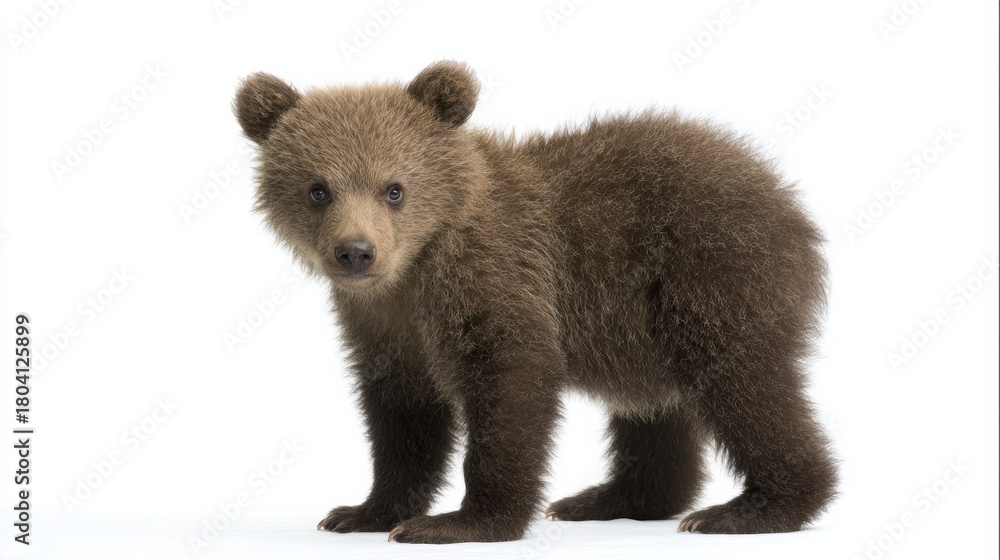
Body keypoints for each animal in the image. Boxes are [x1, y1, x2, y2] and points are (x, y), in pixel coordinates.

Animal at [233, 61, 837, 544]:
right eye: (318, 189)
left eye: (394, 188)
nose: (356, 252)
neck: (416, 270)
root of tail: (788, 201)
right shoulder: (385, 328)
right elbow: (402, 416)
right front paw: (363, 511)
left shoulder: (500, 278)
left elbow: (511, 389)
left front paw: (462, 522)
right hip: (644, 333)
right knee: (653, 411)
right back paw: (606, 499)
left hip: (712, 278)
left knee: (747, 387)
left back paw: (749, 509)